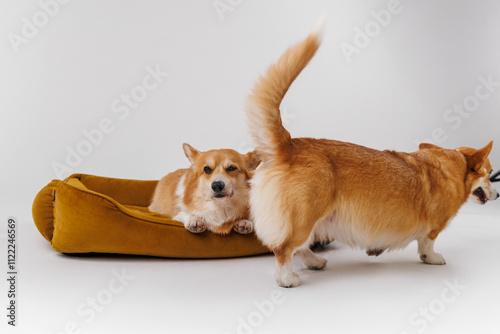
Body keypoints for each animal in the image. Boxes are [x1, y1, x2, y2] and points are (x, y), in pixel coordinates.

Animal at [244, 26, 498, 288]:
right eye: (490, 173)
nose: (498, 194)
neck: (455, 167)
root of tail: (288, 145)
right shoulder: (433, 227)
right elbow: (427, 244)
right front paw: (433, 258)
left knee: (302, 247)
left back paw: (315, 262)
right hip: (304, 216)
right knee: (284, 248)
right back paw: (287, 278)